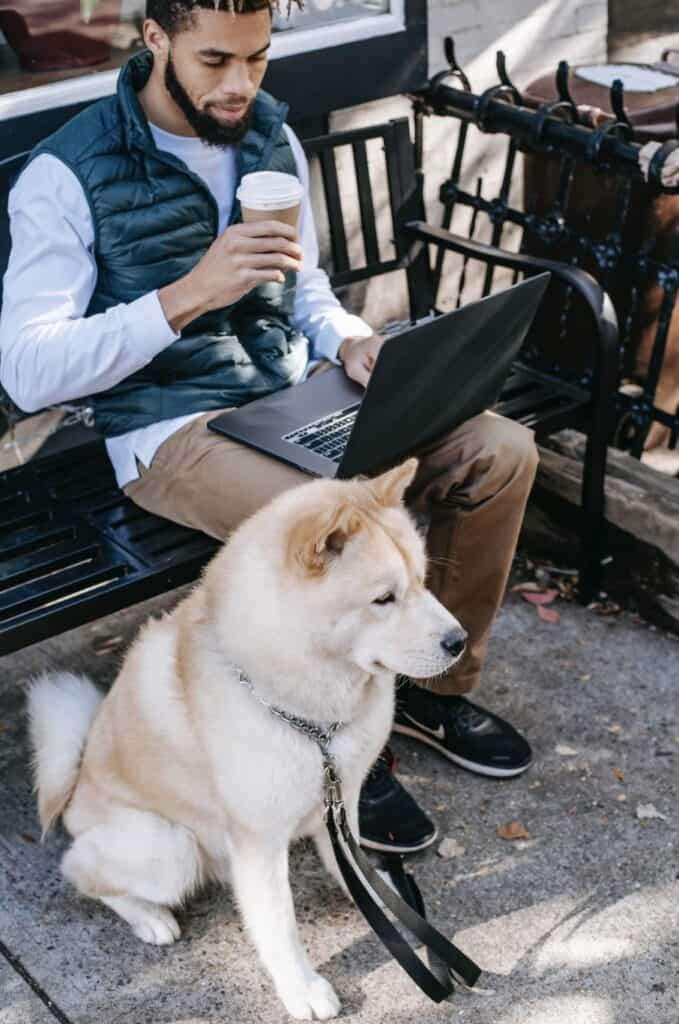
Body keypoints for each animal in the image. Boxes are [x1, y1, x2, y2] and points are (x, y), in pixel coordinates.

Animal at [27, 460, 467, 1019]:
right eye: (383, 599)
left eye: (423, 581)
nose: (459, 641)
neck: (312, 717)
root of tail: (77, 784)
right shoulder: (259, 841)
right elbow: (279, 925)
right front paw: (301, 988)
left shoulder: (341, 796)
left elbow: (348, 860)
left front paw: (376, 893)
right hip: (169, 849)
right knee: (81, 869)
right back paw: (149, 917)